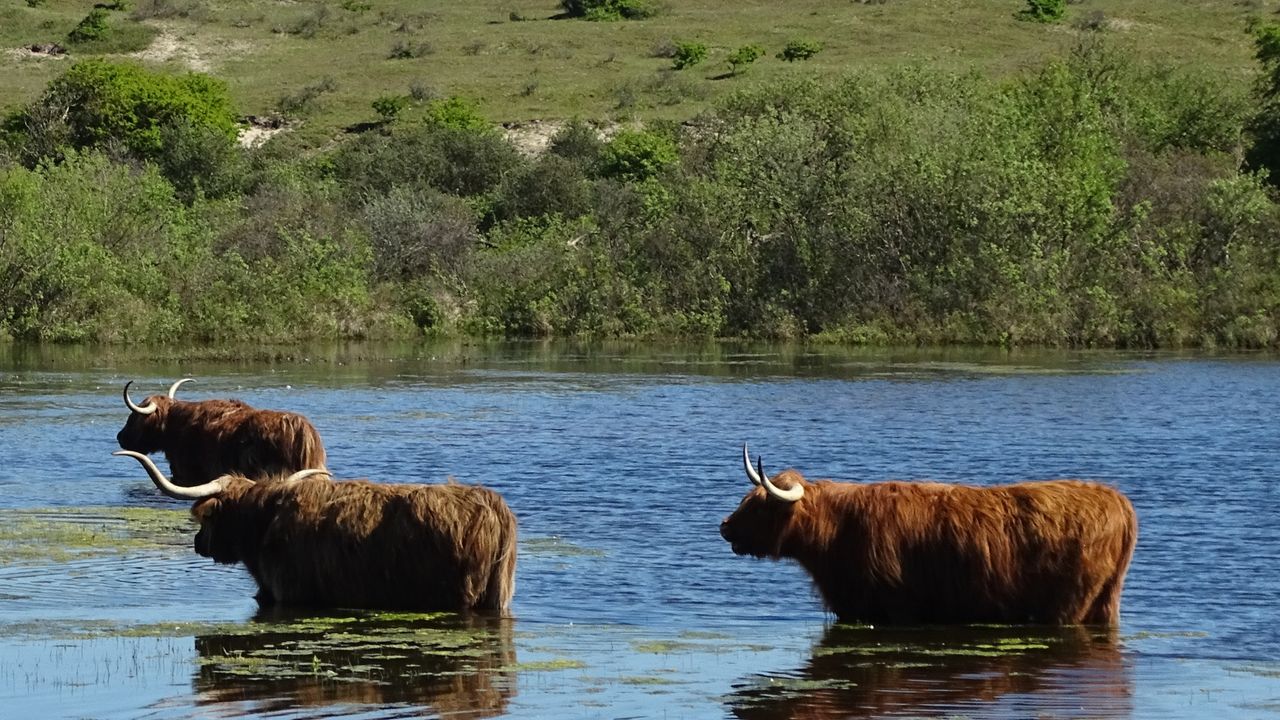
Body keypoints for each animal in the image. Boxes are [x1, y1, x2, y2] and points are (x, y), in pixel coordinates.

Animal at [721, 443, 1141, 622]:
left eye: (759, 505)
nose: (724, 527)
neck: (838, 529)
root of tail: (1117, 499)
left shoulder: (888, 608)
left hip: (1069, 604)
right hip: (1106, 601)